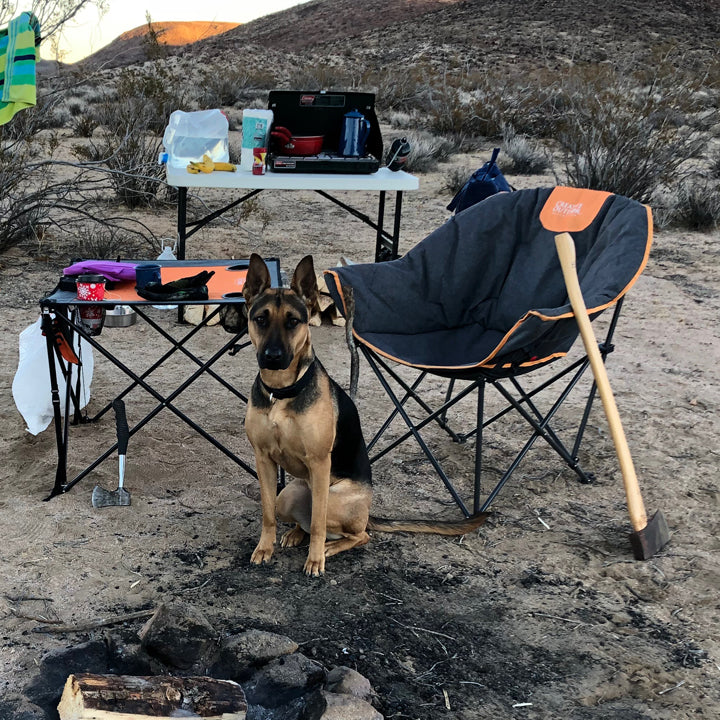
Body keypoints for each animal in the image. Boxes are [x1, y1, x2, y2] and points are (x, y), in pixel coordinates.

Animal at [243, 256, 490, 576]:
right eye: (261, 319)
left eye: (293, 321)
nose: (272, 357)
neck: (282, 392)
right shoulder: (263, 459)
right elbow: (267, 513)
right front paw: (265, 548)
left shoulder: (320, 463)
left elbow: (319, 523)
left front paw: (315, 560)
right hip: (288, 494)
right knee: (306, 521)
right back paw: (296, 533)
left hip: (336, 499)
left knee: (355, 533)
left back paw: (329, 547)